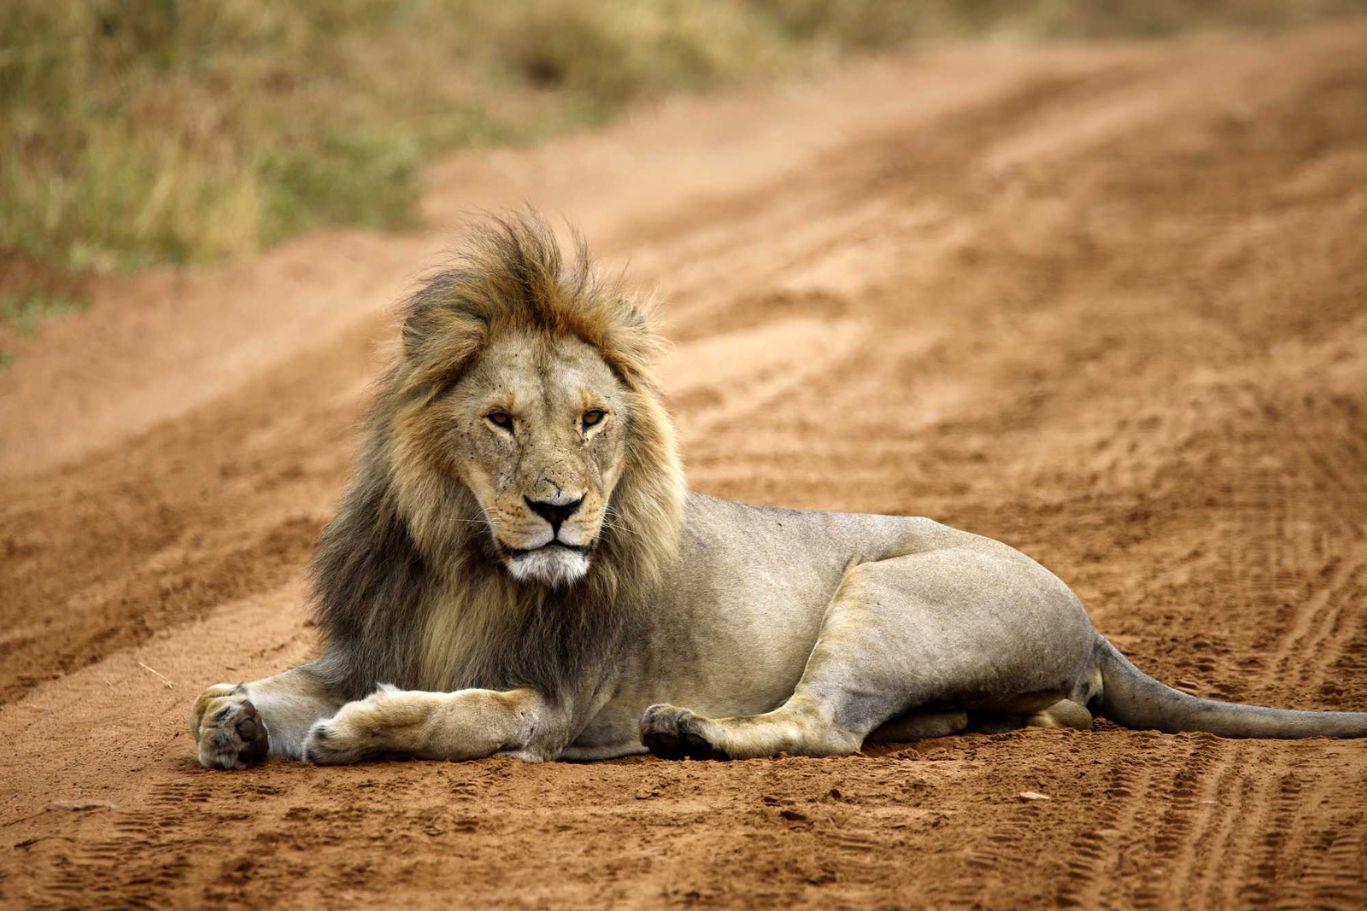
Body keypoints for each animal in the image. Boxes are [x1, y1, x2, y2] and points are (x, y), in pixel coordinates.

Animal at [192, 213, 1366, 770]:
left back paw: (689, 731)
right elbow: (274, 686)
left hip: (885, 597)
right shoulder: (371, 634)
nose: (562, 509)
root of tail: (1089, 619)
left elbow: (461, 712)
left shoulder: (553, 701)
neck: (465, 559)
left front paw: (353, 729)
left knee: (823, 726)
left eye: (592, 419)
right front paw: (234, 714)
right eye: (501, 421)